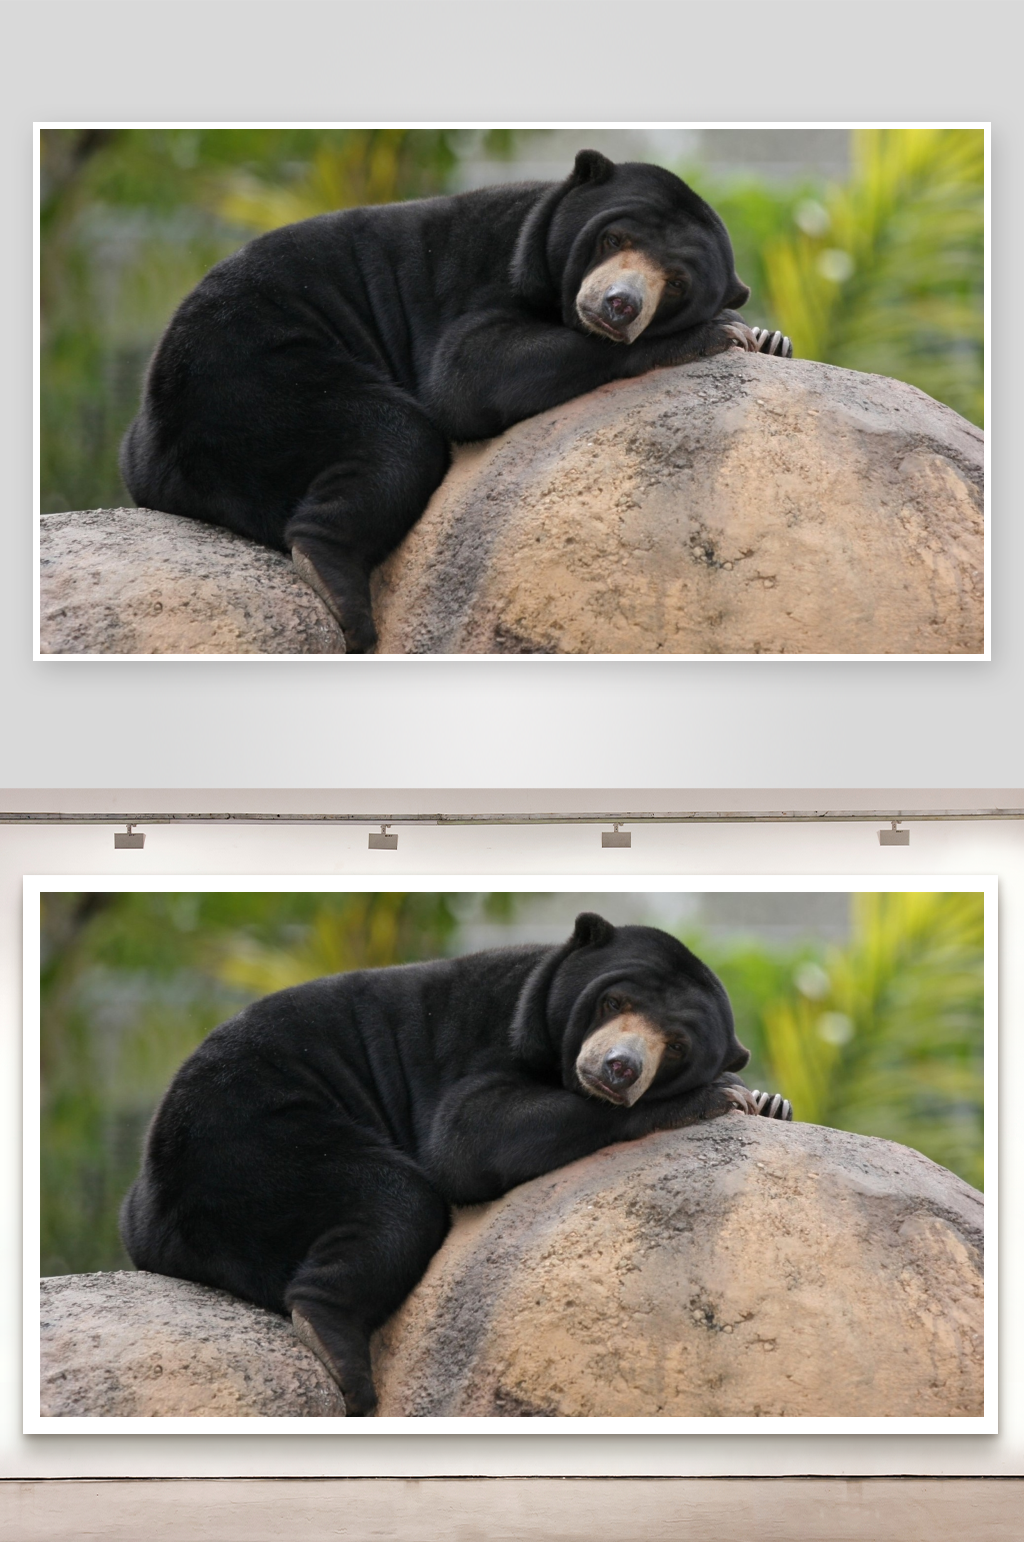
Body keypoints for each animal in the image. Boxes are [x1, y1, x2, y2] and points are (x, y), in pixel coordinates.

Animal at [119, 149, 793, 654]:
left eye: (675, 283)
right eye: (614, 237)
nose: (620, 305)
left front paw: (769, 338)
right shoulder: (486, 277)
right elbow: (466, 376)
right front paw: (719, 333)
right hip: (250, 376)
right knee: (395, 437)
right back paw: (338, 590)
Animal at [120, 910, 793, 1416]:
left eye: (675, 1046)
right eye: (615, 1000)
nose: (620, 1068)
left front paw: (770, 1101)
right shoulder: (485, 1041)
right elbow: (466, 1138)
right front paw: (718, 1097)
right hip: (251, 1138)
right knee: (394, 1200)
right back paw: (338, 1353)